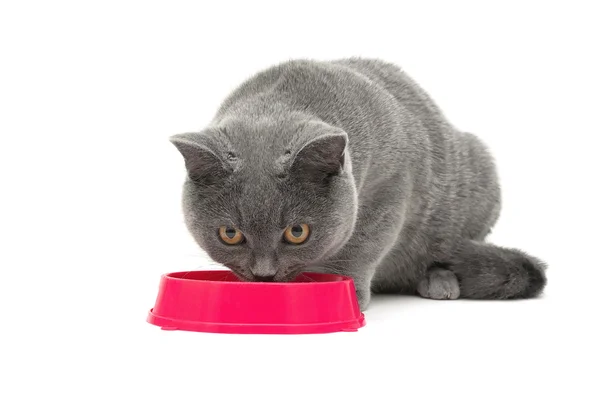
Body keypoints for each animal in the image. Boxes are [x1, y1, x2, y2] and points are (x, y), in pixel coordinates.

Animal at [170, 58, 548, 310]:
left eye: (297, 232)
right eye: (229, 234)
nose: (264, 274)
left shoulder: (390, 188)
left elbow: (361, 247)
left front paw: (347, 296)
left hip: (479, 177)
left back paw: (439, 282)